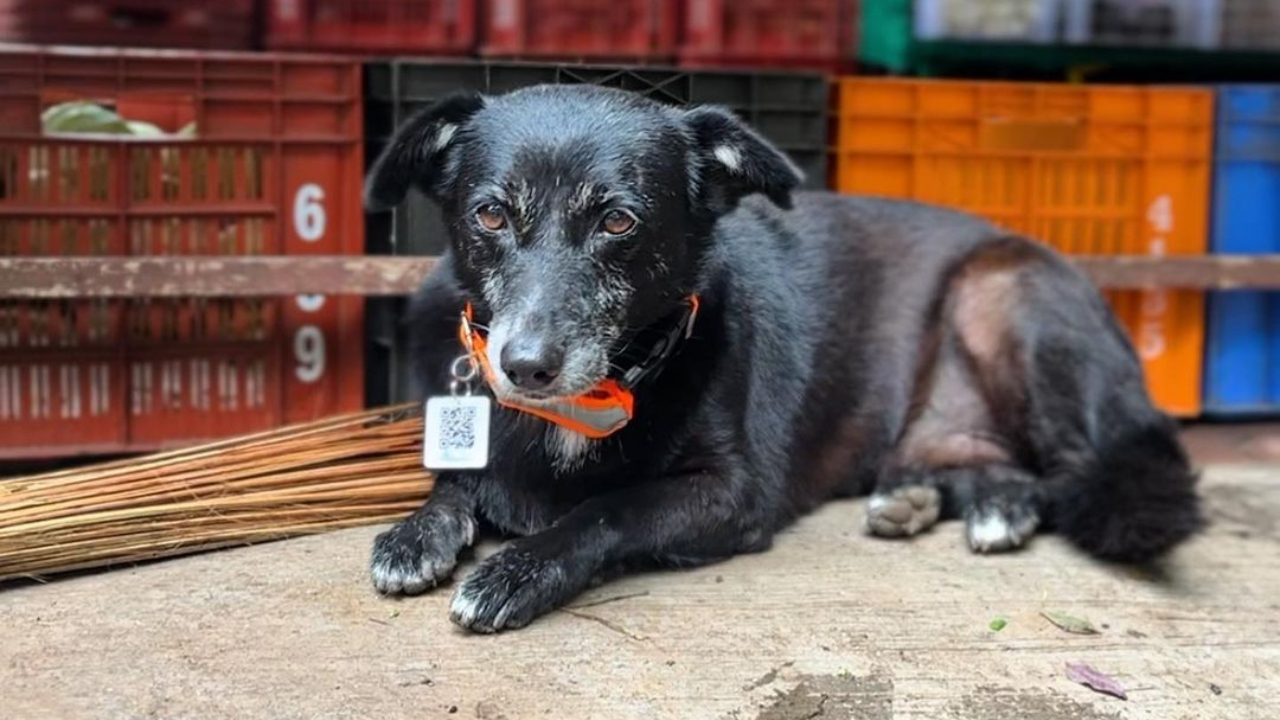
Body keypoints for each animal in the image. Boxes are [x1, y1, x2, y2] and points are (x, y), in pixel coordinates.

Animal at [360, 83, 1198, 630]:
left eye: (619, 221)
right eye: (491, 215)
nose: (525, 365)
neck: (582, 407)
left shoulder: (734, 493)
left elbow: (605, 510)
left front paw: (518, 570)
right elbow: (454, 483)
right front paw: (416, 532)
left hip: (1004, 290)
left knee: (1078, 473)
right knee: (993, 468)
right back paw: (946, 501)